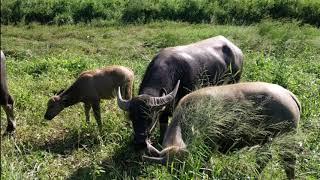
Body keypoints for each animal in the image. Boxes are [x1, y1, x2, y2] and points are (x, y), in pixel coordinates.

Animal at [144, 82, 302, 179]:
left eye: (185, 166)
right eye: (171, 170)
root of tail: (289, 95)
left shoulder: (209, 147)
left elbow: (208, 169)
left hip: (286, 137)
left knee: (289, 161)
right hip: (266, 139)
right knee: (265, 158)